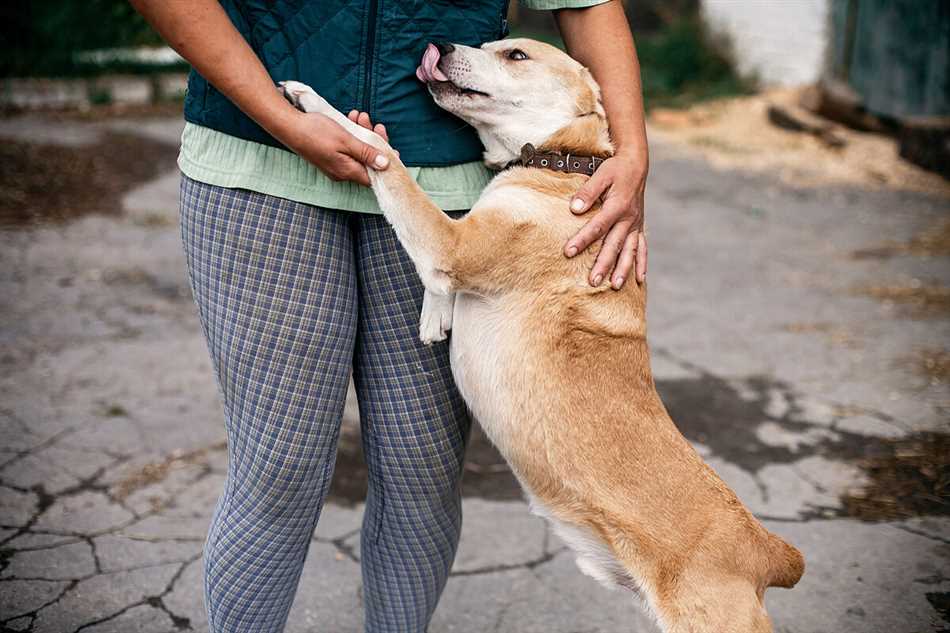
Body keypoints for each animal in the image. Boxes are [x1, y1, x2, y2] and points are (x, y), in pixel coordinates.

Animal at [280, 38, 804, 632]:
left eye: (515, 54)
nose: (438, 44)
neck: (562, 161)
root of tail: (767, 549)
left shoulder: (449, 242)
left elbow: (387, 162)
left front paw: (315, 102)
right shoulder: (456, 248)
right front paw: (436, 316)